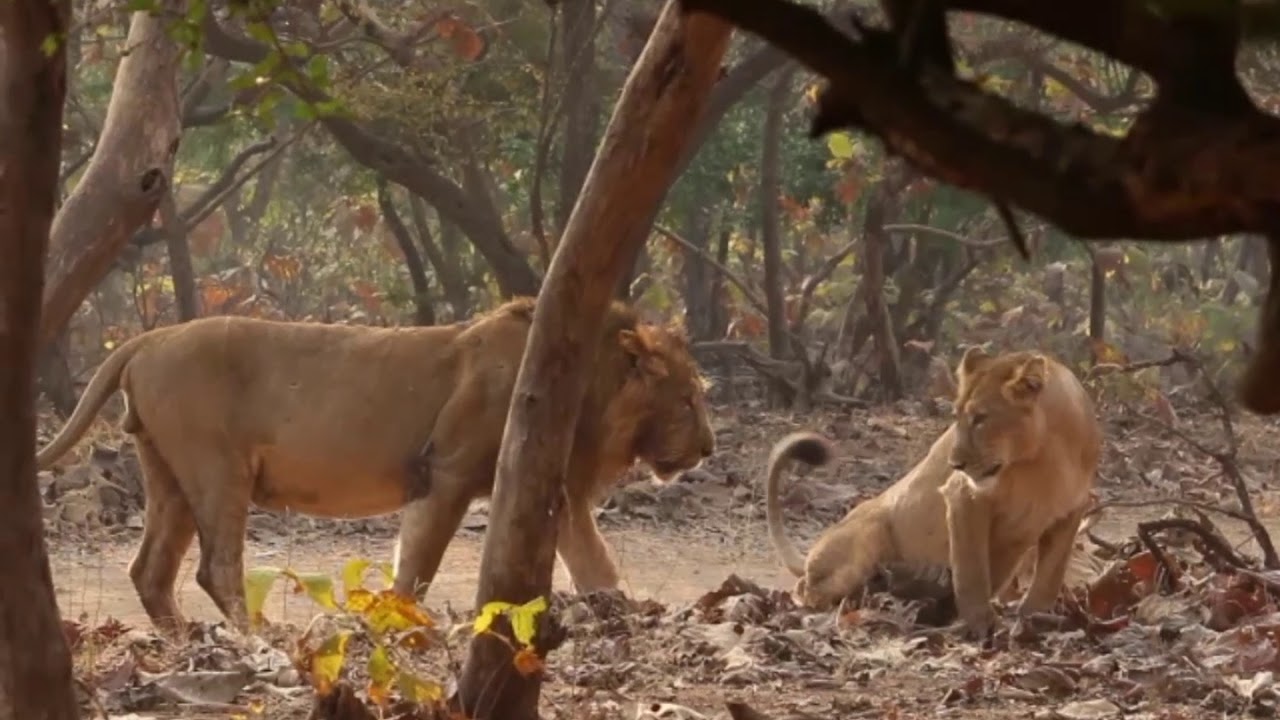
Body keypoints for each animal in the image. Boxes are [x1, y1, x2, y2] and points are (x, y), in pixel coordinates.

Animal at [40, 295, 716, 627]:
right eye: (688, 398)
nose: (709, 449)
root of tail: (148, 338)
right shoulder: (446, 471)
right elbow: (418, 563)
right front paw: (399, 623)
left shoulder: (556, 487)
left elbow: (595, 564)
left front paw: (623, 616)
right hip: (216, 468)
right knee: (216, 569)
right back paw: (264, 640)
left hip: (169, 475)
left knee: (151, 571)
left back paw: (186, 644)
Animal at [762, 345, 1105, 632]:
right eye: (957, 417)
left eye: (981, 418)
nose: (955, 463)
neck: (1042, 458)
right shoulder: (963, 496)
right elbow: (971, 571)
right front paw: (978, 624)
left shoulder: (1070, 512)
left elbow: (1050, 575)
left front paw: (1034, 619)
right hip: (866, 535)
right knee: (805, 588)